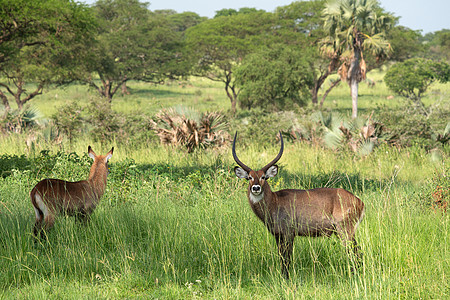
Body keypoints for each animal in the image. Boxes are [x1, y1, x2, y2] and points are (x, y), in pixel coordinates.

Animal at [232, 132, 366, 278]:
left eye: (263, 177)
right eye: (249, 177)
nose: (256, 188)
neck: (274, 201)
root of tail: (359, 201)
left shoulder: (289, 233)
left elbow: (287, 259)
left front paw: (286, 278)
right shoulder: (278, 235)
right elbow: (281, 257)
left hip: (345, 230)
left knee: (356, 253)